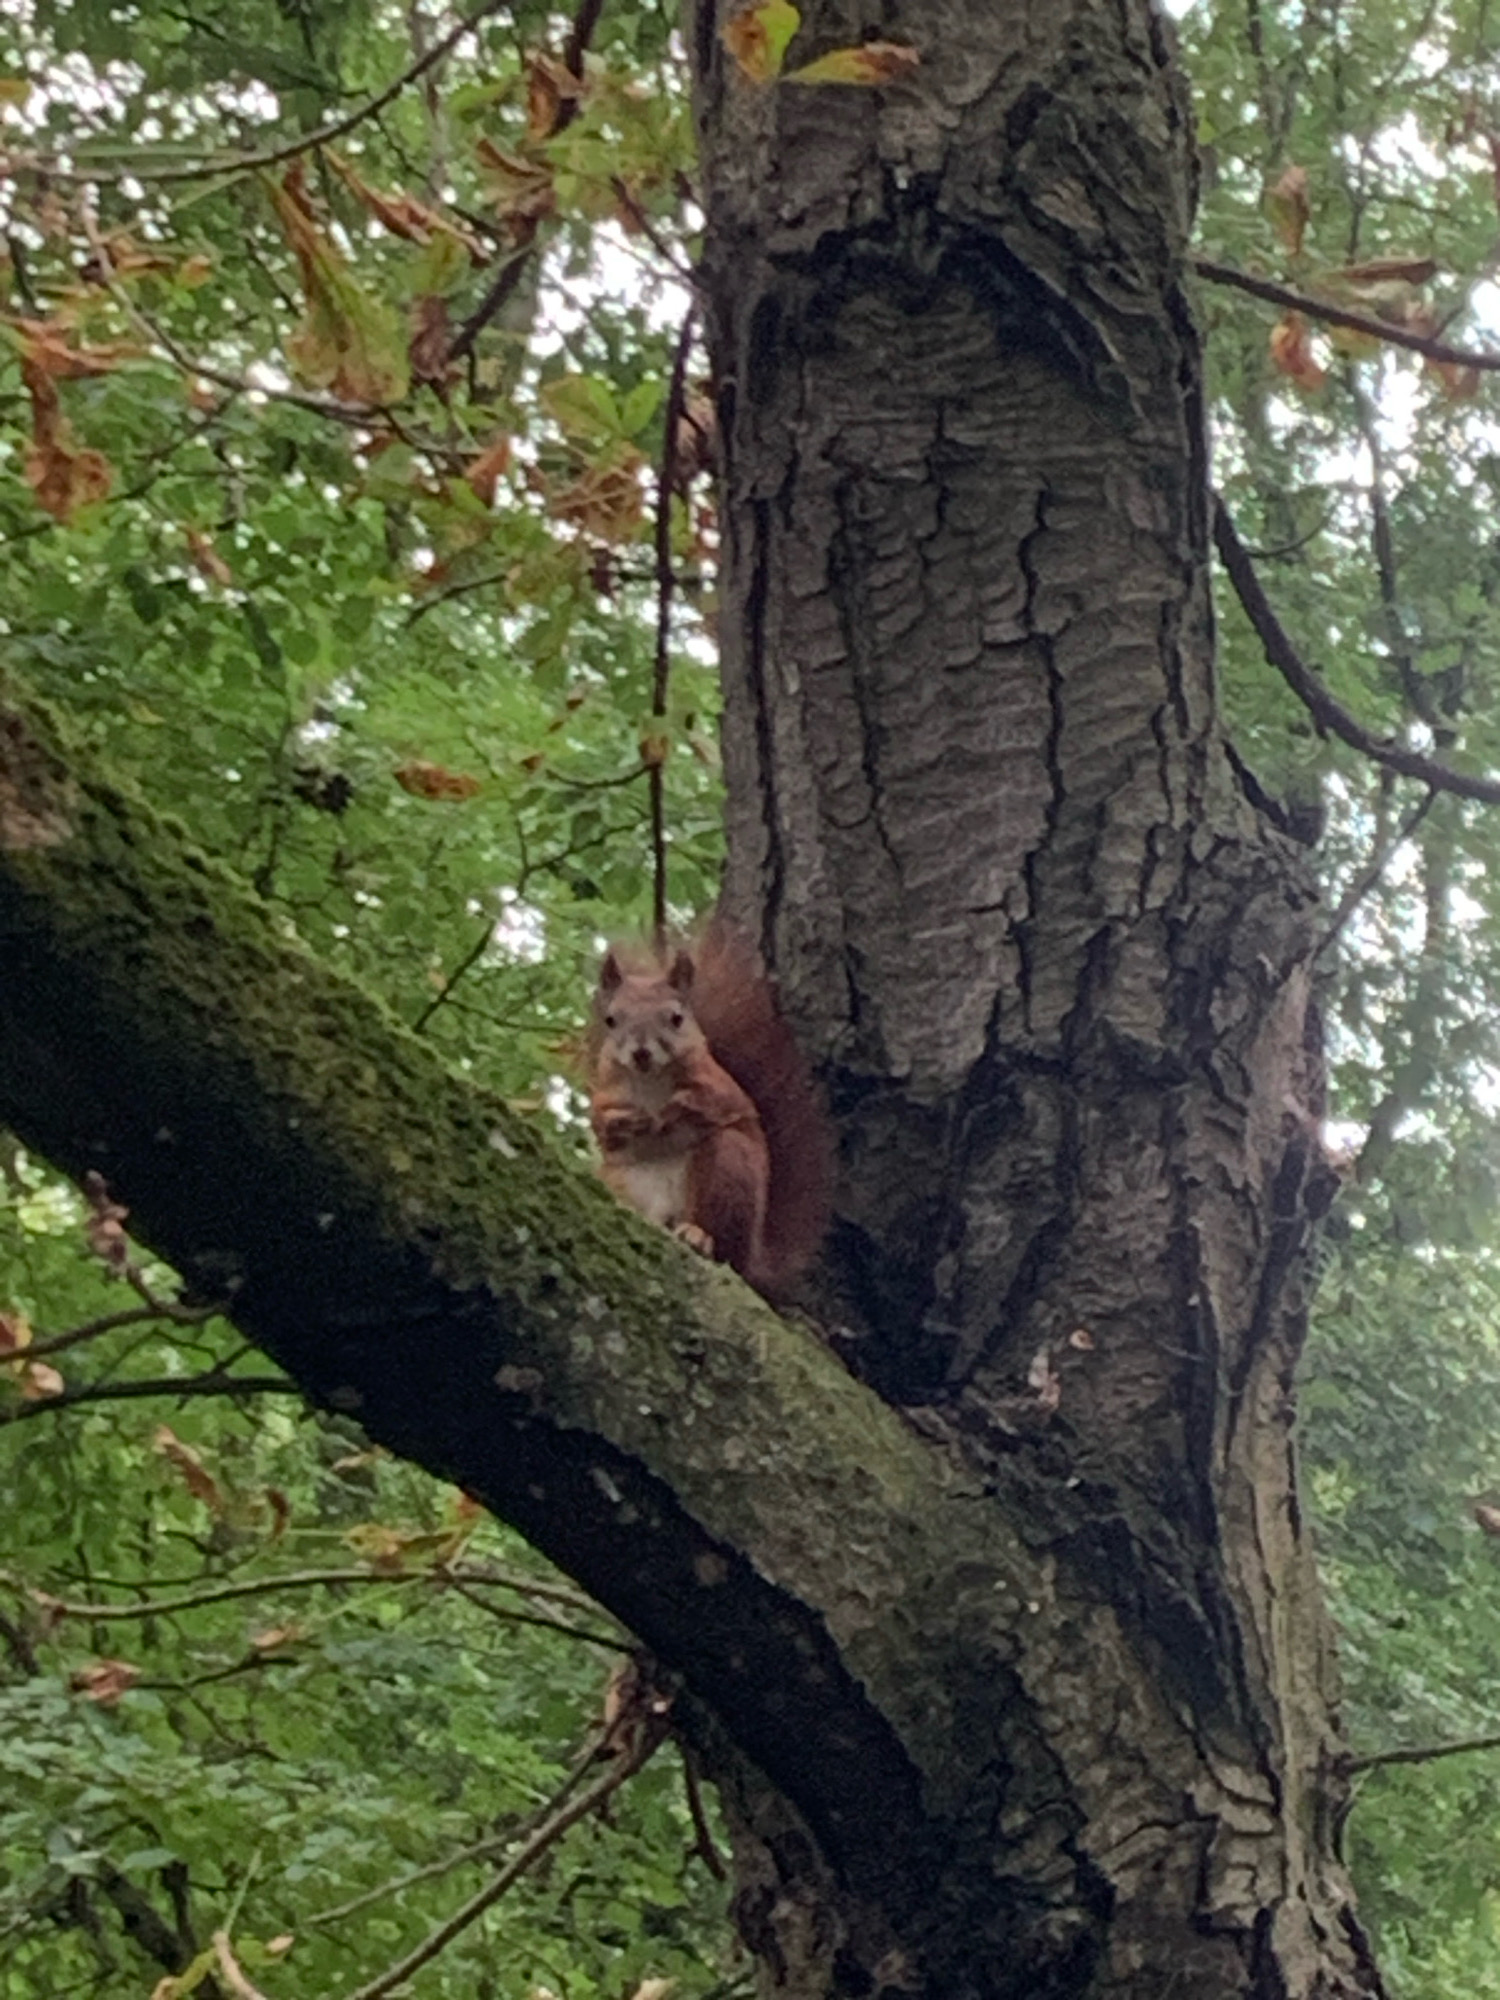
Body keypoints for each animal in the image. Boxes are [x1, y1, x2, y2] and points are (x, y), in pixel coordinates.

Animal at [587, 921, 832, 1299]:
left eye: (676, 1018)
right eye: (611, 1020)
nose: (641, 1053)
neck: (650, 1082)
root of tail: (754, 1257)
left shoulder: (721, 1086)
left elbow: (717, 1102)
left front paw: (677, 1107)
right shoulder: (607, 1090)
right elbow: (599, 1123)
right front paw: (622, 1121)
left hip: (730, 1169)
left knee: (722, 1242)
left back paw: (699, 1235)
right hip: (618, 1180)